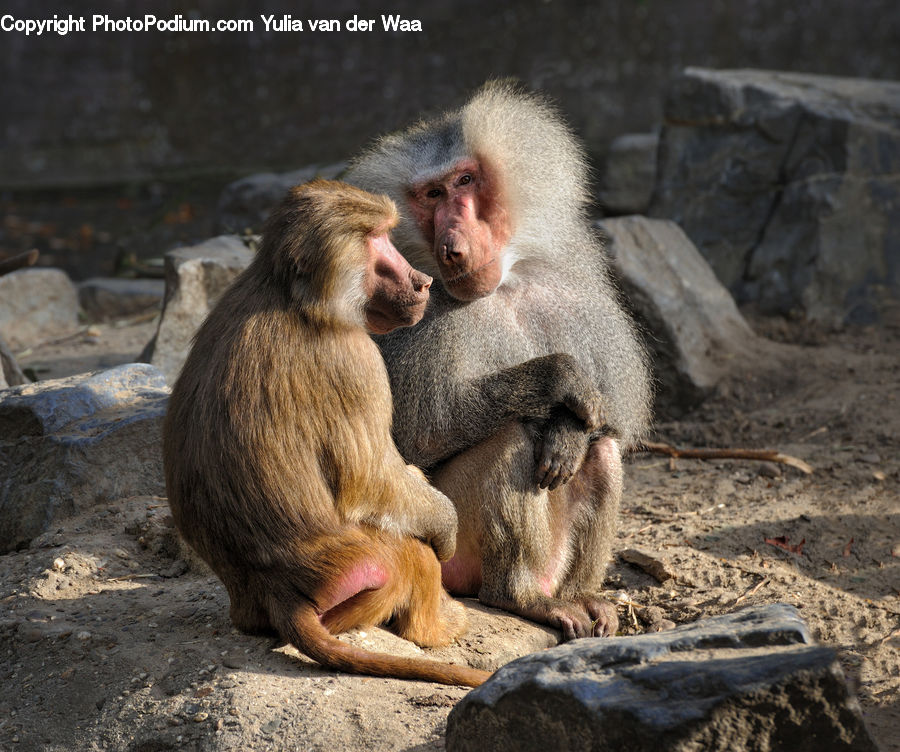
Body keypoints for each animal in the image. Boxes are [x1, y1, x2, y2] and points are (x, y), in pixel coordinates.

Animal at [163, 179, 490, 688]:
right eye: (372, 240)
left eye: (385, 234)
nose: (422, 281)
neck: (293, 296)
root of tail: (276, 592)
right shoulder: (356, 361)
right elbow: (372, 482)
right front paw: (446, 524)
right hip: (366, 567)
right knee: (412, 552)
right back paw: (437, 626)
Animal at [346, 81, 653, 641]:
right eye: (432, 196)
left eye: (465, 181)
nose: (450, 245)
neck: (502, 287)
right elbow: (420, 435)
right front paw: (560, 378)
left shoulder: (573, 292)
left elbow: (612, 418)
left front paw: (567, 433)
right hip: (446, 545)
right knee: (506, 439)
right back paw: (524, 598)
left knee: (604, 449)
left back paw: (582, 598)